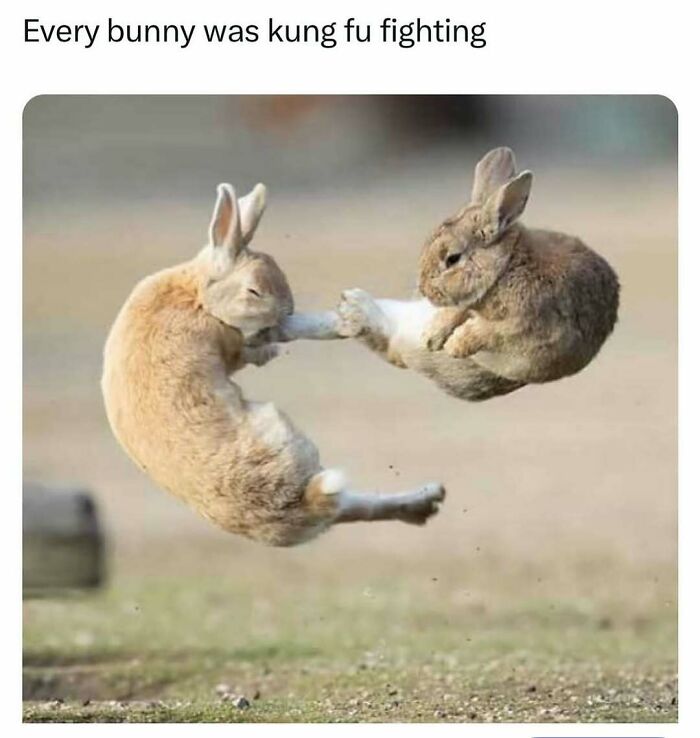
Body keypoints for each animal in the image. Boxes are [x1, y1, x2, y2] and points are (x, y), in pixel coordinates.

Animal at [101, 183, 446, 547]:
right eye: (253, 291)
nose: (285, 313)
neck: (198, 295)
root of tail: (301, 504)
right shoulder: (229, 341)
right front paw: (279, 346)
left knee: (353, 507)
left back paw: (427, 499)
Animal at [336, 147, 619, 400]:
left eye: (452, 258)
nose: (424, 290)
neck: (504, 268)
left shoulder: (522, 326)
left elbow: (486, 333)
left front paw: (453, 345)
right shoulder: (466, 302)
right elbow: (457, 312)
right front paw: (433, 336)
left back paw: (354, 311)